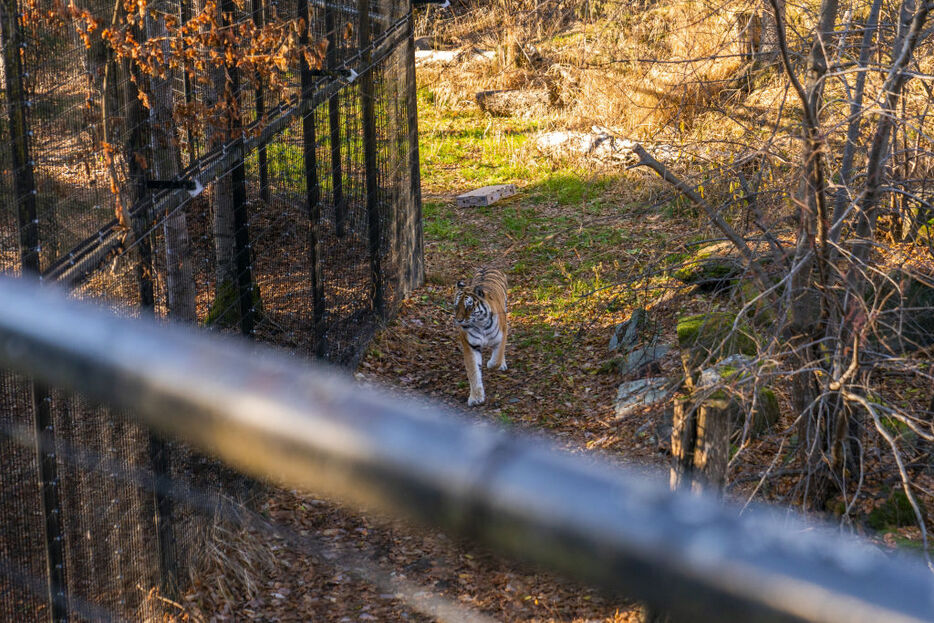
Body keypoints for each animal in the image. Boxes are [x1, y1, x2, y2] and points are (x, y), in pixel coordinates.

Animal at [456, 270, 508, 408]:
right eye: (456, 306)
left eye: (468, 306)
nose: (459, 320)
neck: (480, 324)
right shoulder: (470, 346)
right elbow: (473, 371)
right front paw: (476, 398)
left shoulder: (502, 334)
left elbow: (496, 359)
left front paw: (492, 364)